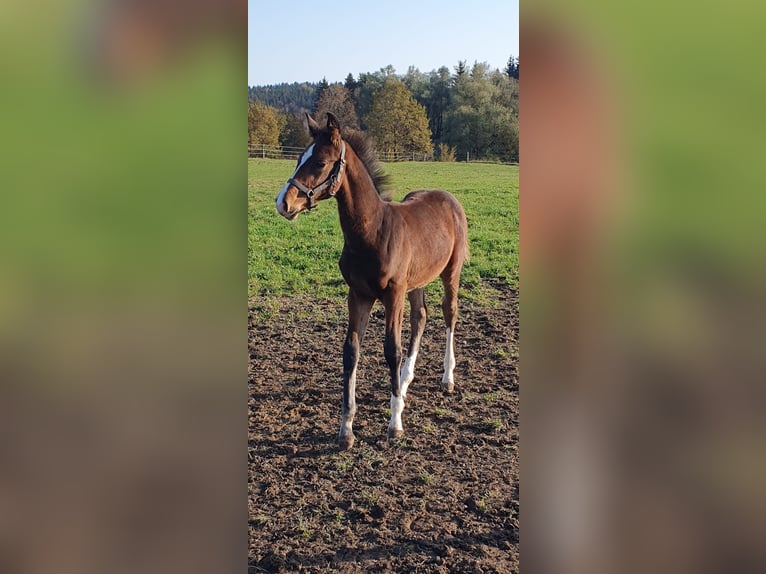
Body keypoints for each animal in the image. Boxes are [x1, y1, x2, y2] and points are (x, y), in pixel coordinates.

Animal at [276, 112, 468, 452]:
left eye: (320, 162)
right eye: (299, 158)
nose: (282, 203)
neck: (373, 232)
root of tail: (447, 197)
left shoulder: (393, 294)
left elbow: (391, 349)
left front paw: (395, 424)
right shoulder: (358, 295)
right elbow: (351, 350)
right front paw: (346, 430)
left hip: (450, 272)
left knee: (449, 313)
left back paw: (447, 378)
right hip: (416, 282)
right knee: (421, 317)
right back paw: (404, 380)